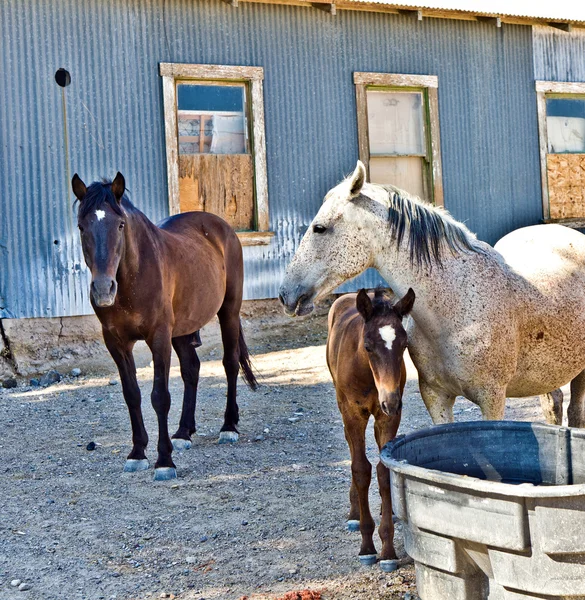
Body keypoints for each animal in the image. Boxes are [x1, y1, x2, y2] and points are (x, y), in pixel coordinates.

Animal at [71, 171, 258, 480]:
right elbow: (132, 395)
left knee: (230, 364)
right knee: (192, 369)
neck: (133, 280)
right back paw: (183, 433)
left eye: (120, 224)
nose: (103, 289)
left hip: (228, 313)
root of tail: (223, 228)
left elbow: (159, 396)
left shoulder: (158, 338)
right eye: (81, 226)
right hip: (182, 329)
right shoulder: (117, 343)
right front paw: (137, 453)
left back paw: (228, 427)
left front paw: (164, 461)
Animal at [278, 161, 584, 426]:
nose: (285, 294)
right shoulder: (435, 397)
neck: (456, 305)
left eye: (320, 228)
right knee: (554, 406)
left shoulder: (492, 400)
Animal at [326, 290, 412, 572]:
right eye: (368, 346)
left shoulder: (387, 418)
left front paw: (387, 551)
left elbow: (384, 471)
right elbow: (360, 469)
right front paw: (367, 547)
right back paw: (354, 513)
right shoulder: (354, 415)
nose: (391, 401)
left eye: (404, 345)